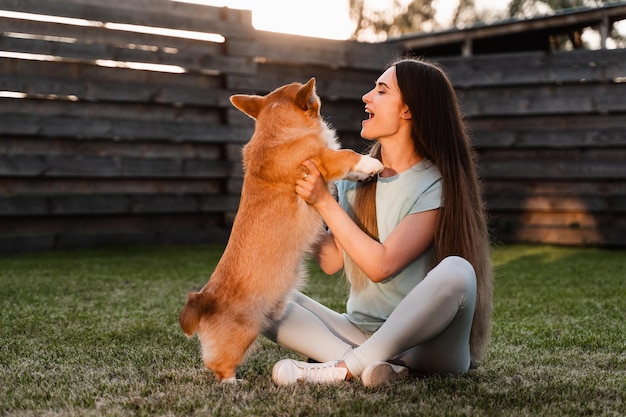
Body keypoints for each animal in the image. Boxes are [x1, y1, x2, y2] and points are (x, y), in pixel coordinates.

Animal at [178, 77, 382, 380]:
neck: (276, 131)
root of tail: (203, 299)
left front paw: (364, 173)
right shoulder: (321, 160)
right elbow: (345, 154)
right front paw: (371, 163)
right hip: (244, 332)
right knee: (219, 365)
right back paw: (234, 383)